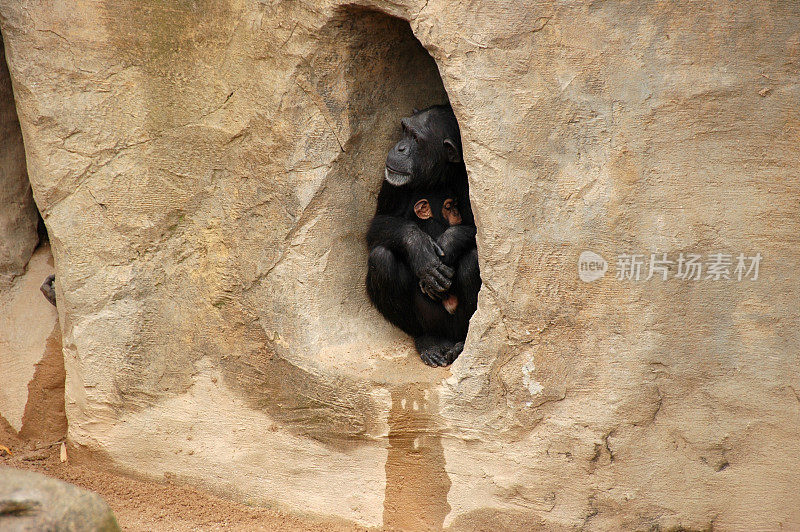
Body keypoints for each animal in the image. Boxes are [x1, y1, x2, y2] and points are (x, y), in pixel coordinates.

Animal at [366, 104, 478, 366]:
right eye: (405, 130)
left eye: (416, 139)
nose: (400, 147)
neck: (436, 177)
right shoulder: (390, 181)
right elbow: (377, 226)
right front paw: (420, 250)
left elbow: (478, 232)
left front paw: (448, 245)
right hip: (429, 319)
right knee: (381, 259)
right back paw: (429, 341)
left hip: (456, 323)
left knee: (472, 261)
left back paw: (459, 345)